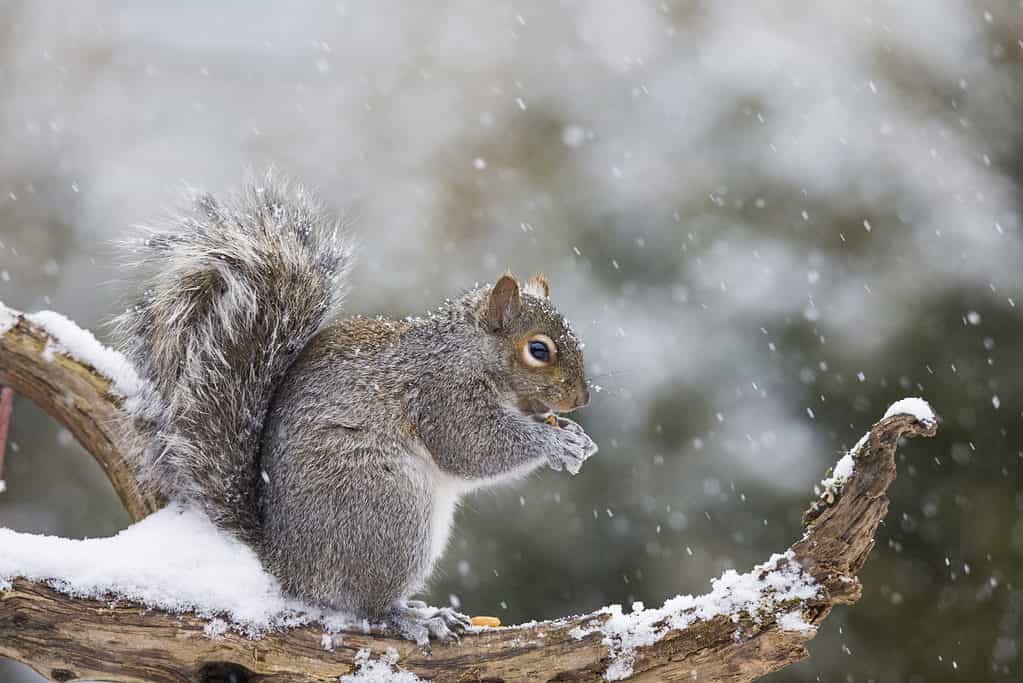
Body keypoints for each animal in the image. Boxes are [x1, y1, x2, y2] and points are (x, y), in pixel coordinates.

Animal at [117, 174, 597, 642]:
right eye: (539, 350)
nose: (582, 399)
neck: (468, 351)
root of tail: (286, 566)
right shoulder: (441, 395)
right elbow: (472, 448)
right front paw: (554, 443)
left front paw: (575, 436)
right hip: (387, 506)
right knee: (367, 605)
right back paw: (413, 618)